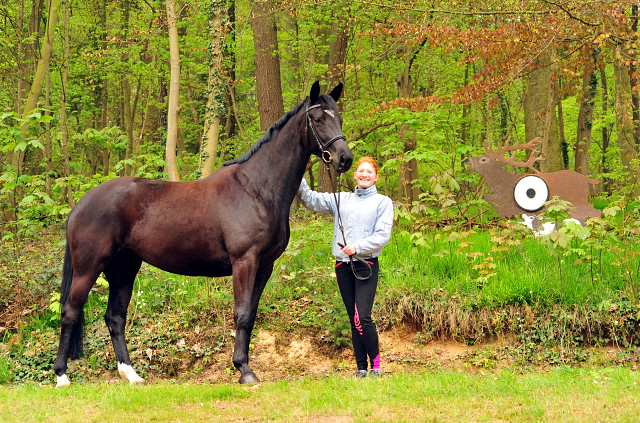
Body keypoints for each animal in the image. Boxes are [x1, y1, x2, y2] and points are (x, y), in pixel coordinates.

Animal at [53, 83, 356, 388]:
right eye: (318, 119)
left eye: (340, 118)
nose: (345, 158)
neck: (257, 189)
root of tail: (81, 203)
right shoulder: (244, 262)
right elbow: (241, 314)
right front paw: (244, 370)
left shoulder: (264, 267)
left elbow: (251, 315)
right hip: (89, 268)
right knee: (70, 312)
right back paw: (62, 376)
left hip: (124, 268)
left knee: (115, 317)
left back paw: (131, 374)